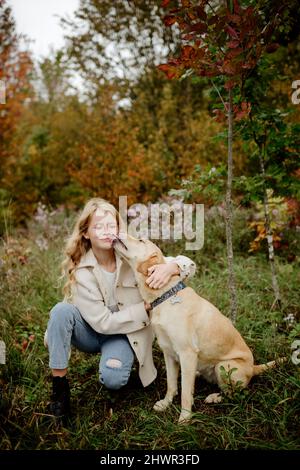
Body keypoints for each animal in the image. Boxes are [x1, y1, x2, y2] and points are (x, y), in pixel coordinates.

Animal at [112, 237, 282, 424]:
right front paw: (166, 403)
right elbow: (171, 384)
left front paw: (185, 418)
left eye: (141, 240)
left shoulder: (187, 353)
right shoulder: (168, 352)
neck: (165, 296)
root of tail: (253, 368)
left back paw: (215, 397)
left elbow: (185, 393)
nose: (118, 235)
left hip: (224, 366)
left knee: (234, 394)